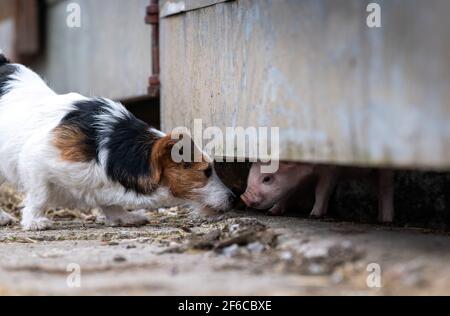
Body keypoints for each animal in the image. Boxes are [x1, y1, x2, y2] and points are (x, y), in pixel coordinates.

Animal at [0, 54, 237, 231]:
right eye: (206, 171)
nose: (234, 198)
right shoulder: (35, 159)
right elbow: (39, 196)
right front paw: (33, 222)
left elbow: (109, 201)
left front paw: (125, 217)